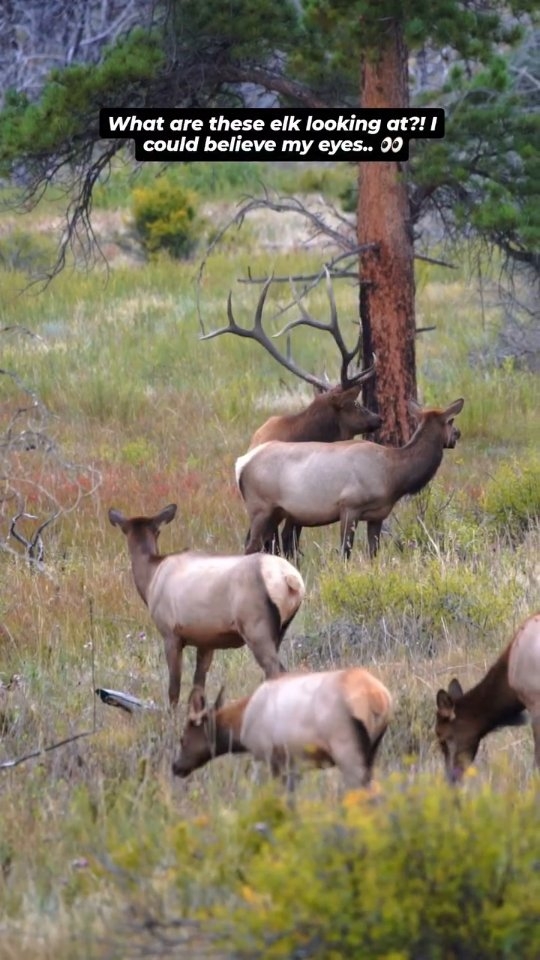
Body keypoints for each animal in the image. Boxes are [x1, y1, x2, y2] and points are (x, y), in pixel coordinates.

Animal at [108, 504, 305, 708]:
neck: (149, 581)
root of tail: (292, 580)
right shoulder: (206, 641)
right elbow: (198, 691)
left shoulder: (170, 633)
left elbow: (174, 690)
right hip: (280, 629)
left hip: (255, 627)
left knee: (277, 671)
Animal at [172, 667, 392, 790]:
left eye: (183, 738)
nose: (176, 766)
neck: (242, 725)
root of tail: (379, 699)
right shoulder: (293, 765)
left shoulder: (271, 758)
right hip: (372, 752)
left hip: (347, 751)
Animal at [236, 397, 464, 560]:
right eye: (451, 420)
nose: (457, 434)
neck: (393, 476)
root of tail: (241, 464)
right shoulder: (349, 507)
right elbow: (345, 552)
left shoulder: (377, 515)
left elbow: (373, 553)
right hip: (260, 507)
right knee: (251, 546)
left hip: (276, 512)